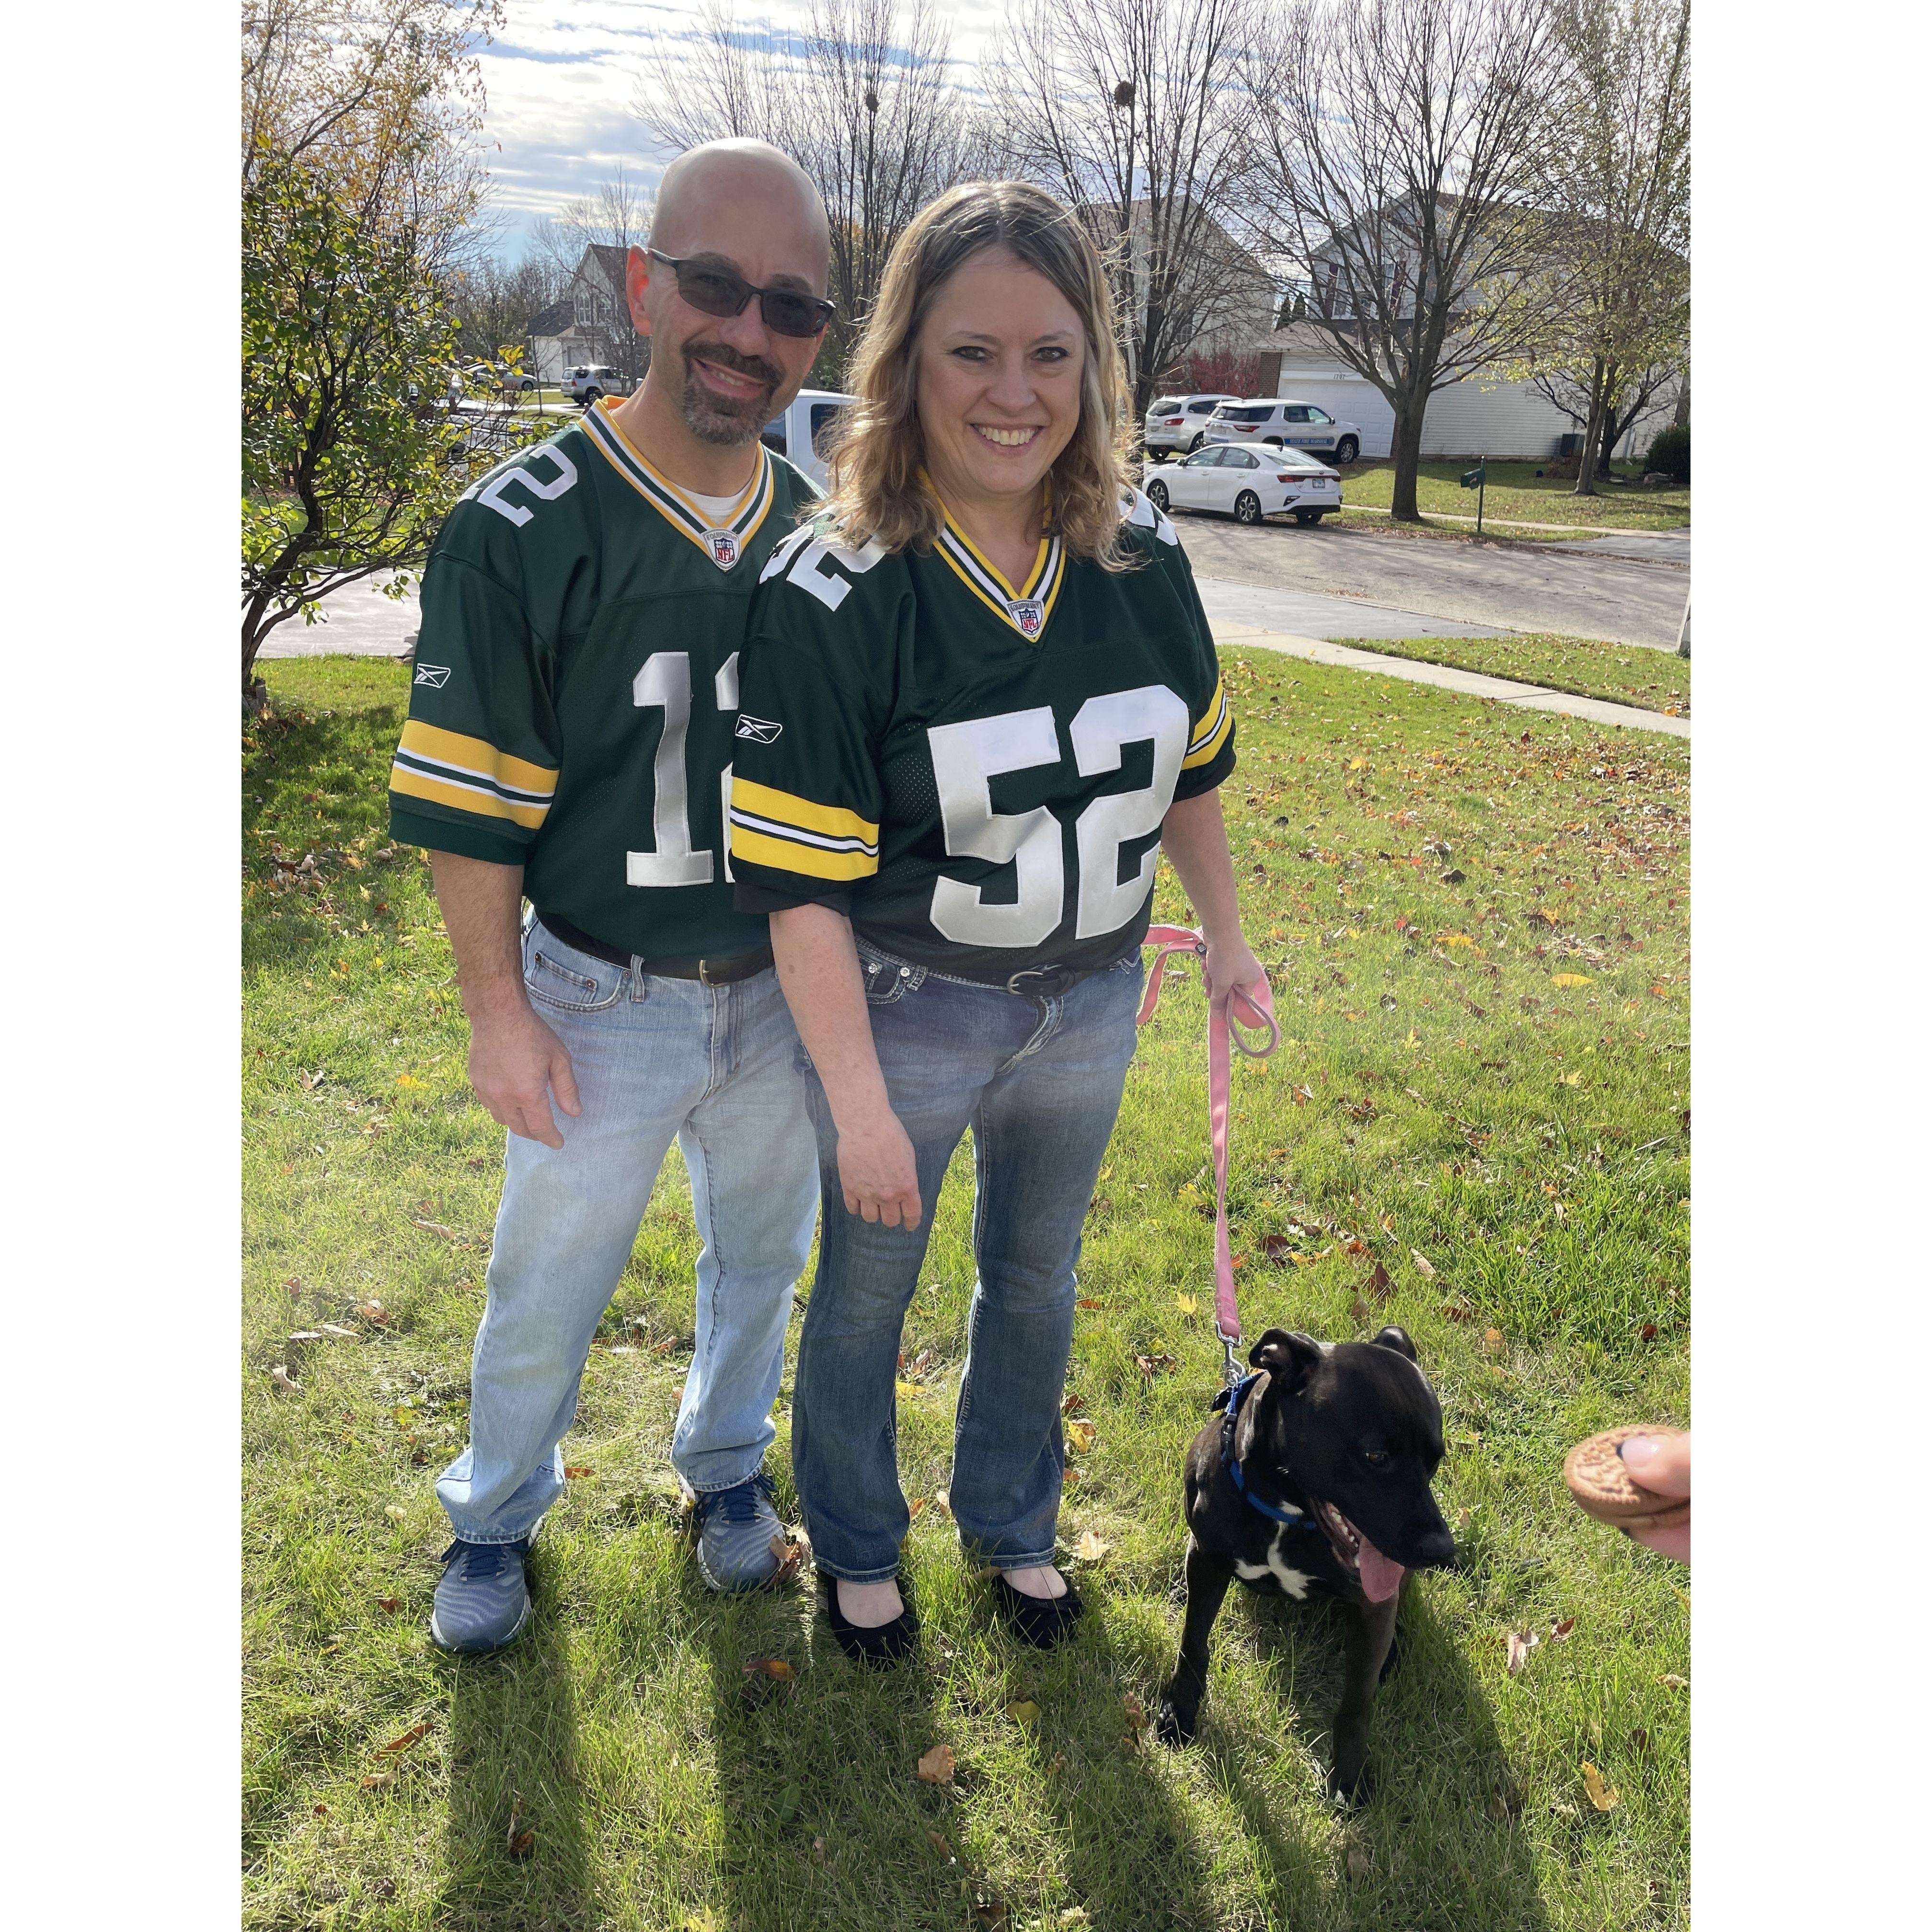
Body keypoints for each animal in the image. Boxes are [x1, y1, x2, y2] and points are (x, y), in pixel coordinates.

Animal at [1159, 1329, 1453, 1793]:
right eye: (1376, 1457)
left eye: (1435, 1460)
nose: (1443, 1550)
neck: (1287, 1512)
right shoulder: (1207, 1560)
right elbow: (1193, 1641)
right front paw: (1179, 1710)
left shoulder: (1371, 1604)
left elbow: (1356, 1704)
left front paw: (1347, 1777)